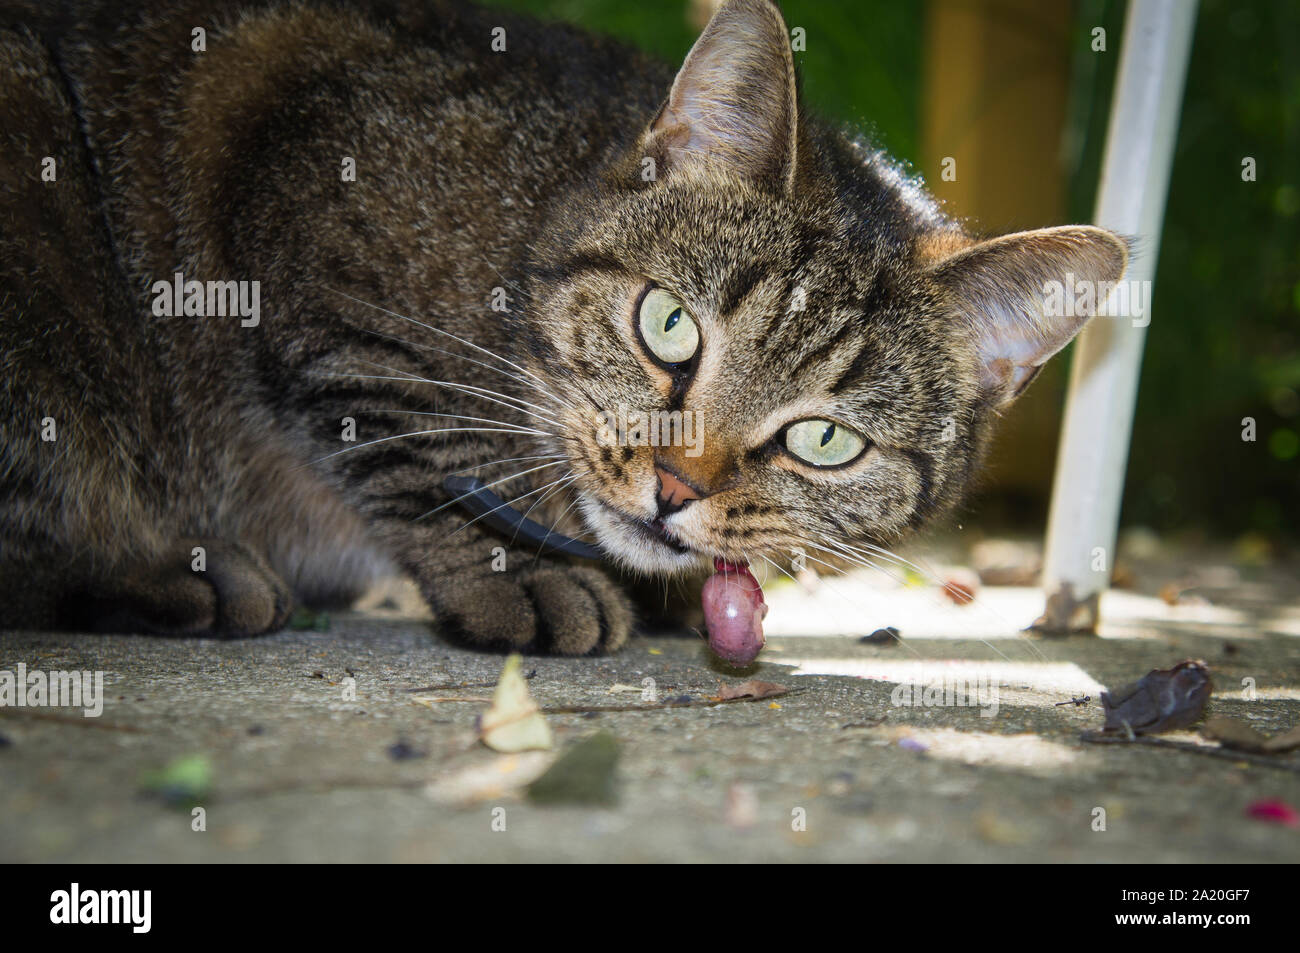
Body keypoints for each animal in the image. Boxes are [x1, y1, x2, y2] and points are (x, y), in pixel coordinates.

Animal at [0, 0, 1128, 655]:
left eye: (823, 439)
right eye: (668, 326)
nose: (677, 486)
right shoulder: (299, 195)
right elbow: (421, 434)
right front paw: (523, 569)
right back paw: (170, 567)